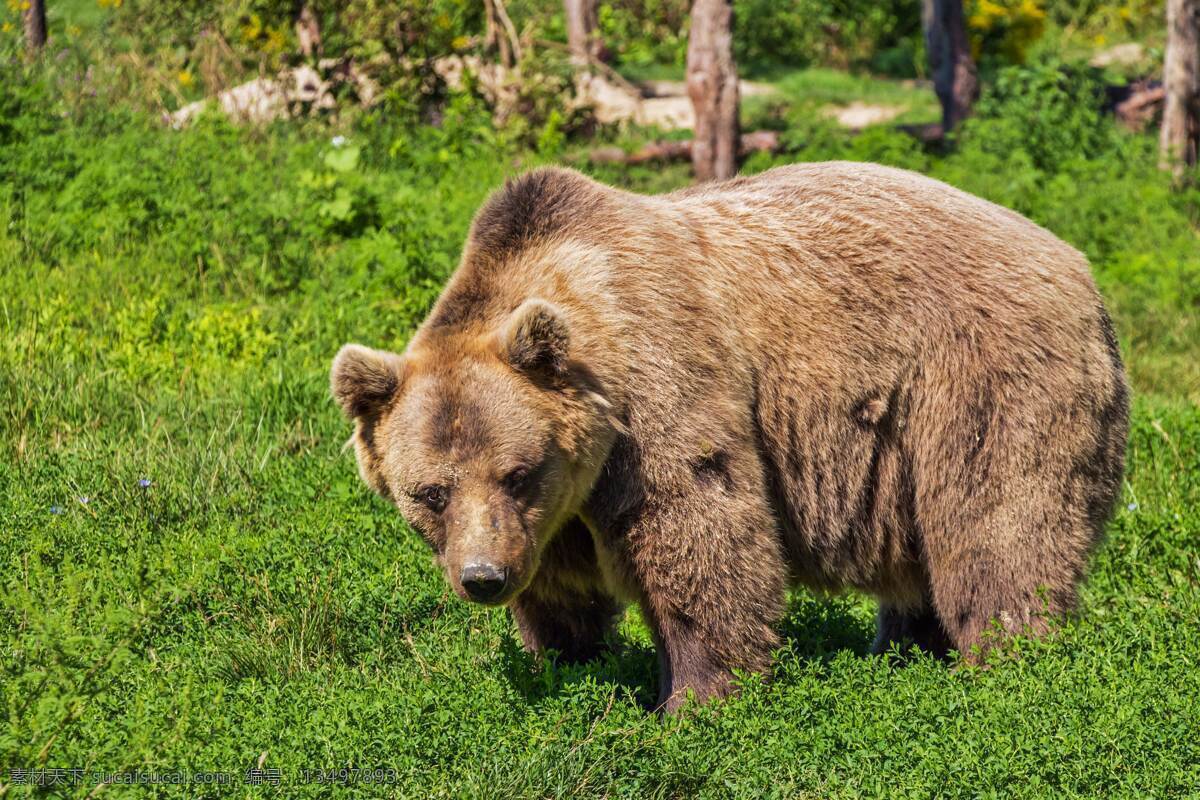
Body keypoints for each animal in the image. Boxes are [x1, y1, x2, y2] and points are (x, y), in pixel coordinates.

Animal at [328, 163, 1123, 714]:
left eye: (517, 472)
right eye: (429, 493)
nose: (483, 577)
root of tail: (1080, 267)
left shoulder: (658, 391)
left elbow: (699, 532)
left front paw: (694, 699)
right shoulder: (555, 513)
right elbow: (560, 587)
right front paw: (567, 661)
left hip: (979, 377)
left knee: (997, 524)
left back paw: (1008, 660)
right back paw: (902, 651)